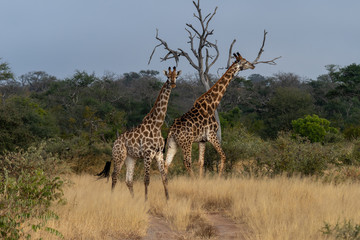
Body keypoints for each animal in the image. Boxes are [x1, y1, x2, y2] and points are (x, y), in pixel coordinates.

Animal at [97, 66, 181, 200]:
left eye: (176, 76)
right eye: (168, 77)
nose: (173, 84)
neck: (157, 124)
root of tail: (115, 142)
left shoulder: (159, 154)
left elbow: (164, 178)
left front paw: (168, 200)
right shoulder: (148, 154)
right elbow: (146, 180)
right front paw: (146, 200)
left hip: (131, 158)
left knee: (128, 180)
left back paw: (133, 199)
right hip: (119, 156)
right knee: (114, 176)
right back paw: (112, 197)